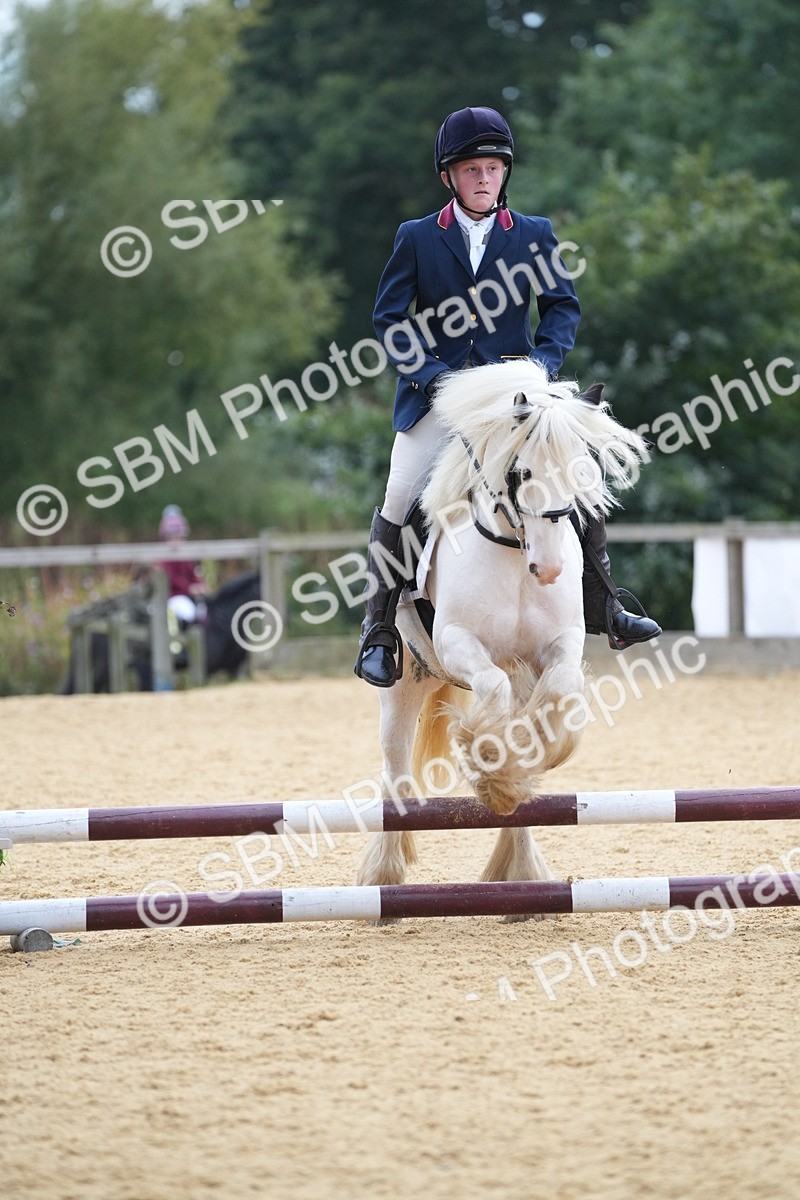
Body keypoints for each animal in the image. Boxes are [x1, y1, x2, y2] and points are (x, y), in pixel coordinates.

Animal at [356, 360, 650, 909]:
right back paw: (384, 875)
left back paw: (521, 874)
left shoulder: (556, 649)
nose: (550, 569)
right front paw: (489, 761)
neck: (514, 552)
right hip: (404, 684)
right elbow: (490, 694)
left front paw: (515, 769)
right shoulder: (460, 643)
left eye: (582, 473)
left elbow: (559, 695)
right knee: (394, 771)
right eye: (521, 473)